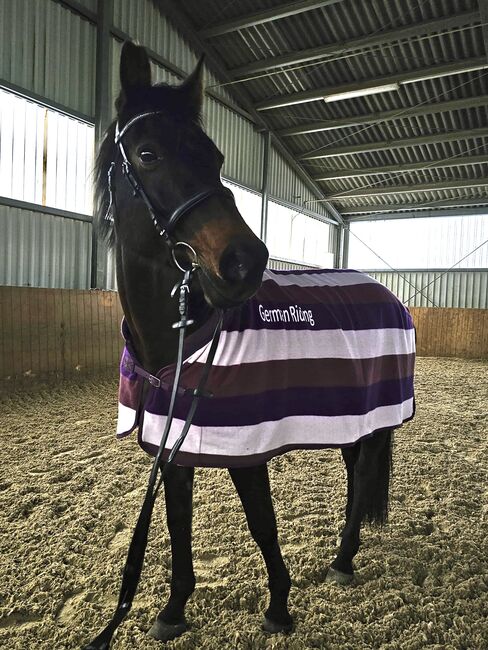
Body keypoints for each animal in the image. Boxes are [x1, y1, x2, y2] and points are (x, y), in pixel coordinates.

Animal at [87, 41, 415, 646]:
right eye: (147, 154)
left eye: (216, 157)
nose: (244, 262)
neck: (180, 344)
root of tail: (389, 295)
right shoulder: (174, 446)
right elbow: (178, 522)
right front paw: (173, 610)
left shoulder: (246, 447)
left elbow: (262, 522)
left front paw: (280, 607)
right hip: (351, 419)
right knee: (355, 473)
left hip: (379, 415)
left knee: (362, 477)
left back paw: (343, 560)